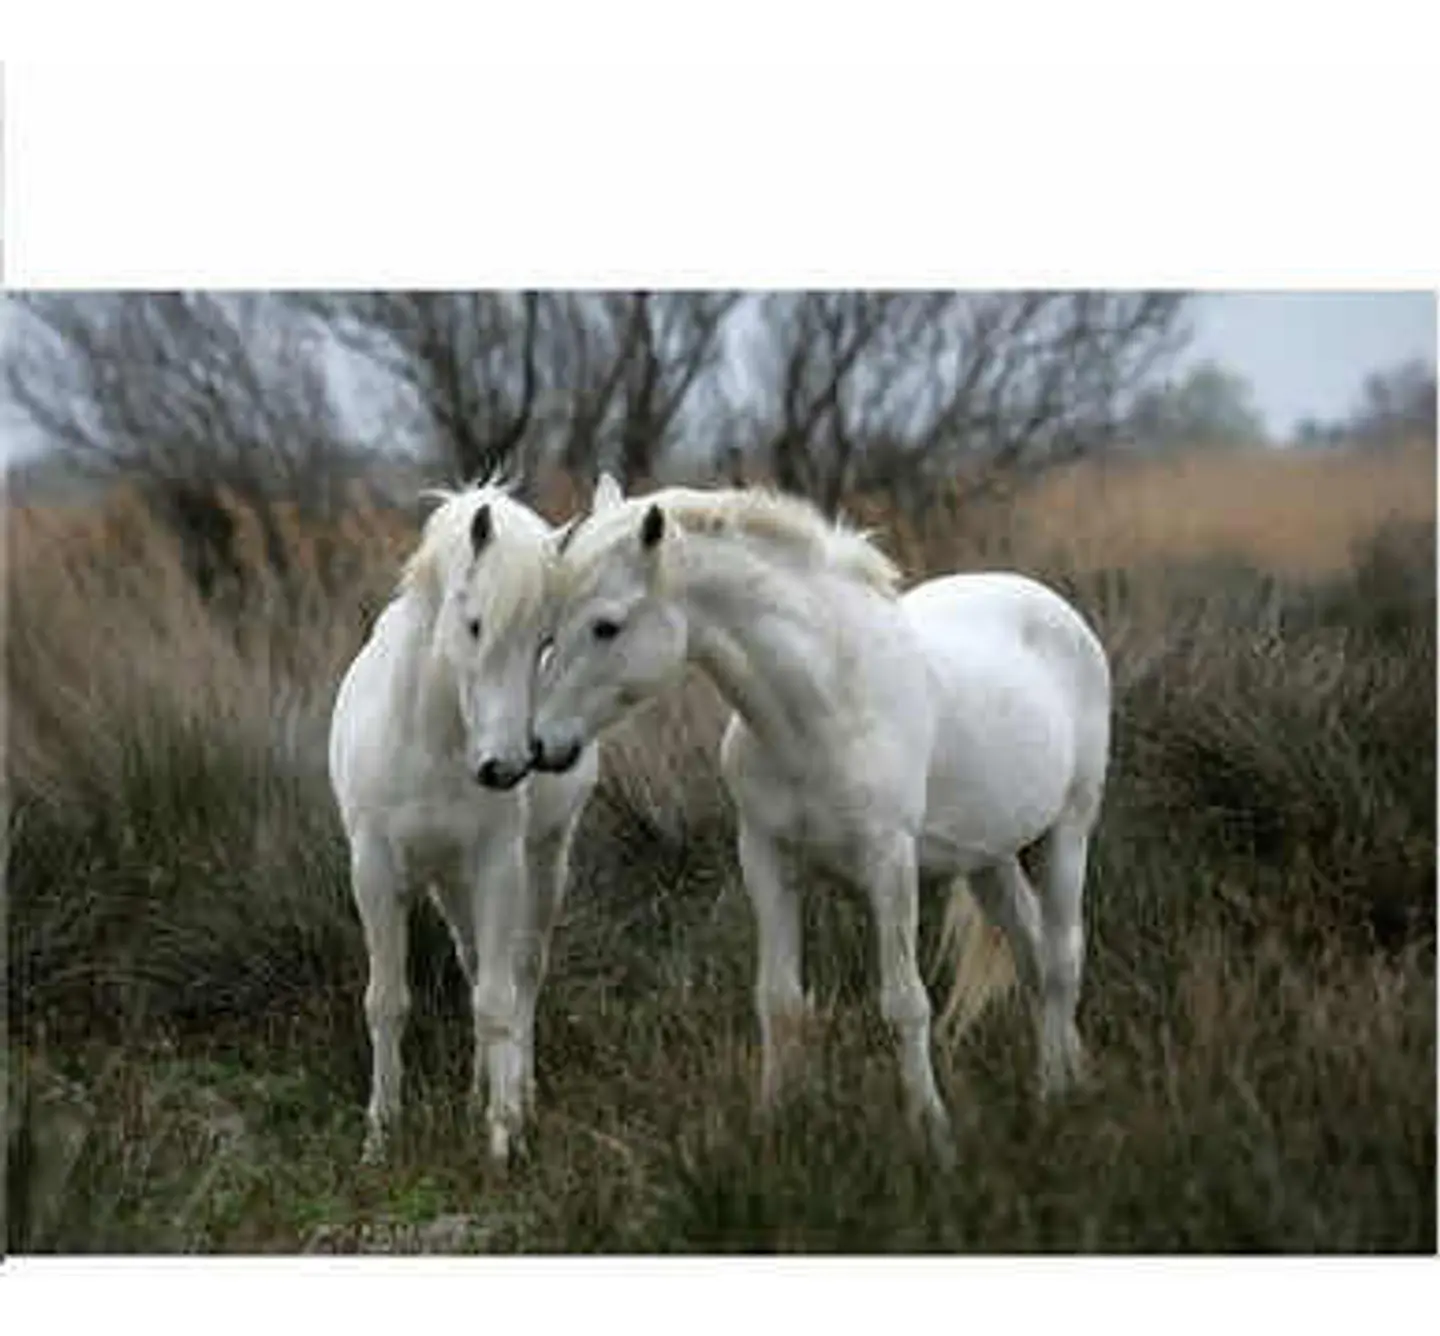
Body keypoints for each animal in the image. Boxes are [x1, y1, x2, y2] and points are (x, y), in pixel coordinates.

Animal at [329, 482, 598, 1165]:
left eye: (543, 639)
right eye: (474, 623)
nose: (505, 767)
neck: (432, 740)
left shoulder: (499, 864)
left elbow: (499, 1001)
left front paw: (504, 1139)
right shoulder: (374, 871)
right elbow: (387, 1001)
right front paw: (380, 1135)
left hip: (542, 860)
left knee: (521, 972)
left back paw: (518, 1094)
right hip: (450, 881)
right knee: (476, 962)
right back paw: (478, 1090)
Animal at [530, 475, 1111, 1156]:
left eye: (606, 626)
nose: (540, 745)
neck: (825, 705)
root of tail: (1052, 607)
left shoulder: (890, 864)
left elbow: (905, 1002)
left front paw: (932, 1133)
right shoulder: (765, 859)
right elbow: (779, 1002)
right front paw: (774, 1126)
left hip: (1068, 831)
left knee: (1062, 959)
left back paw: (1055, 1092)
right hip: (987, 859)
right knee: (1033, 955)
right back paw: (1069, 1072)